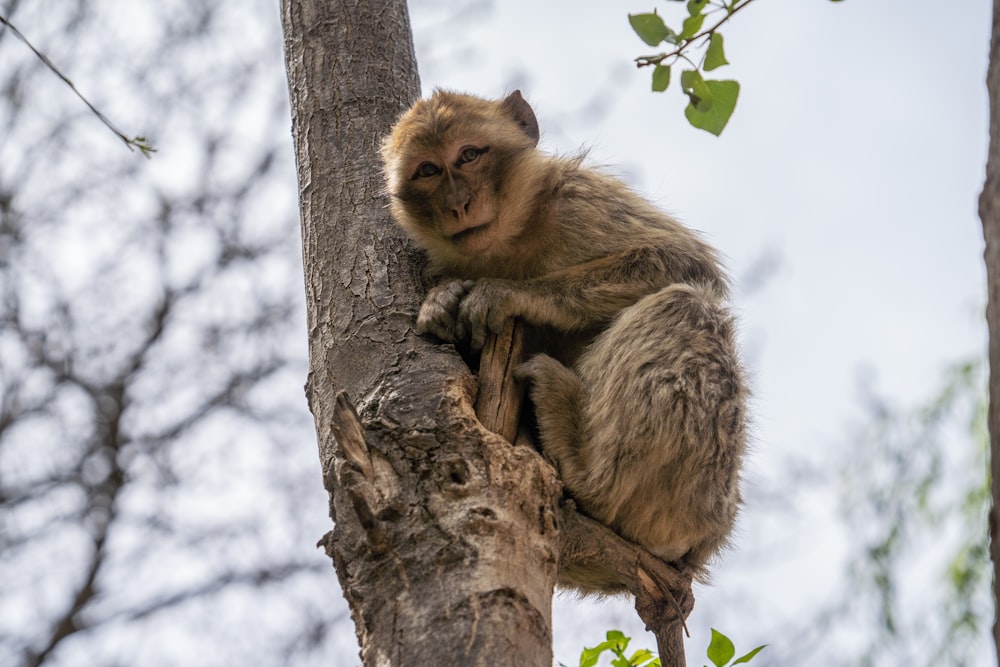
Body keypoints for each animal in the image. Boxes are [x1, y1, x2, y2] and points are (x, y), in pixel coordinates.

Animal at [378, 90, 748, 596]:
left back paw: (587, 474)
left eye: (469, 155)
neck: (509, 244)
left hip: (698, 495)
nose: (458, 202)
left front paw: (506, 293)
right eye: (429, 170)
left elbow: (683, 263)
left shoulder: (576, 199)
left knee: (685, 307)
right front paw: (444, 299)